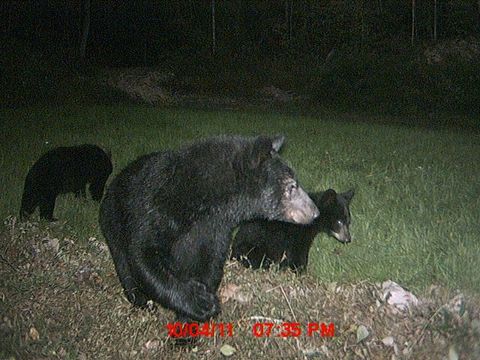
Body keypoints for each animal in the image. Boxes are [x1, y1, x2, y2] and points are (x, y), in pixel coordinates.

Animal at [99, 135, 318, 324]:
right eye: (292, 186)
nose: (315, 212)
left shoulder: (214, 227)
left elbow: (210, 261)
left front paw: (188, 322)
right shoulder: (155, 209)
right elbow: (143, 253)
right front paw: (200, 303)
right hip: (112, 220)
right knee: (123, 262)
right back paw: (140, 299)